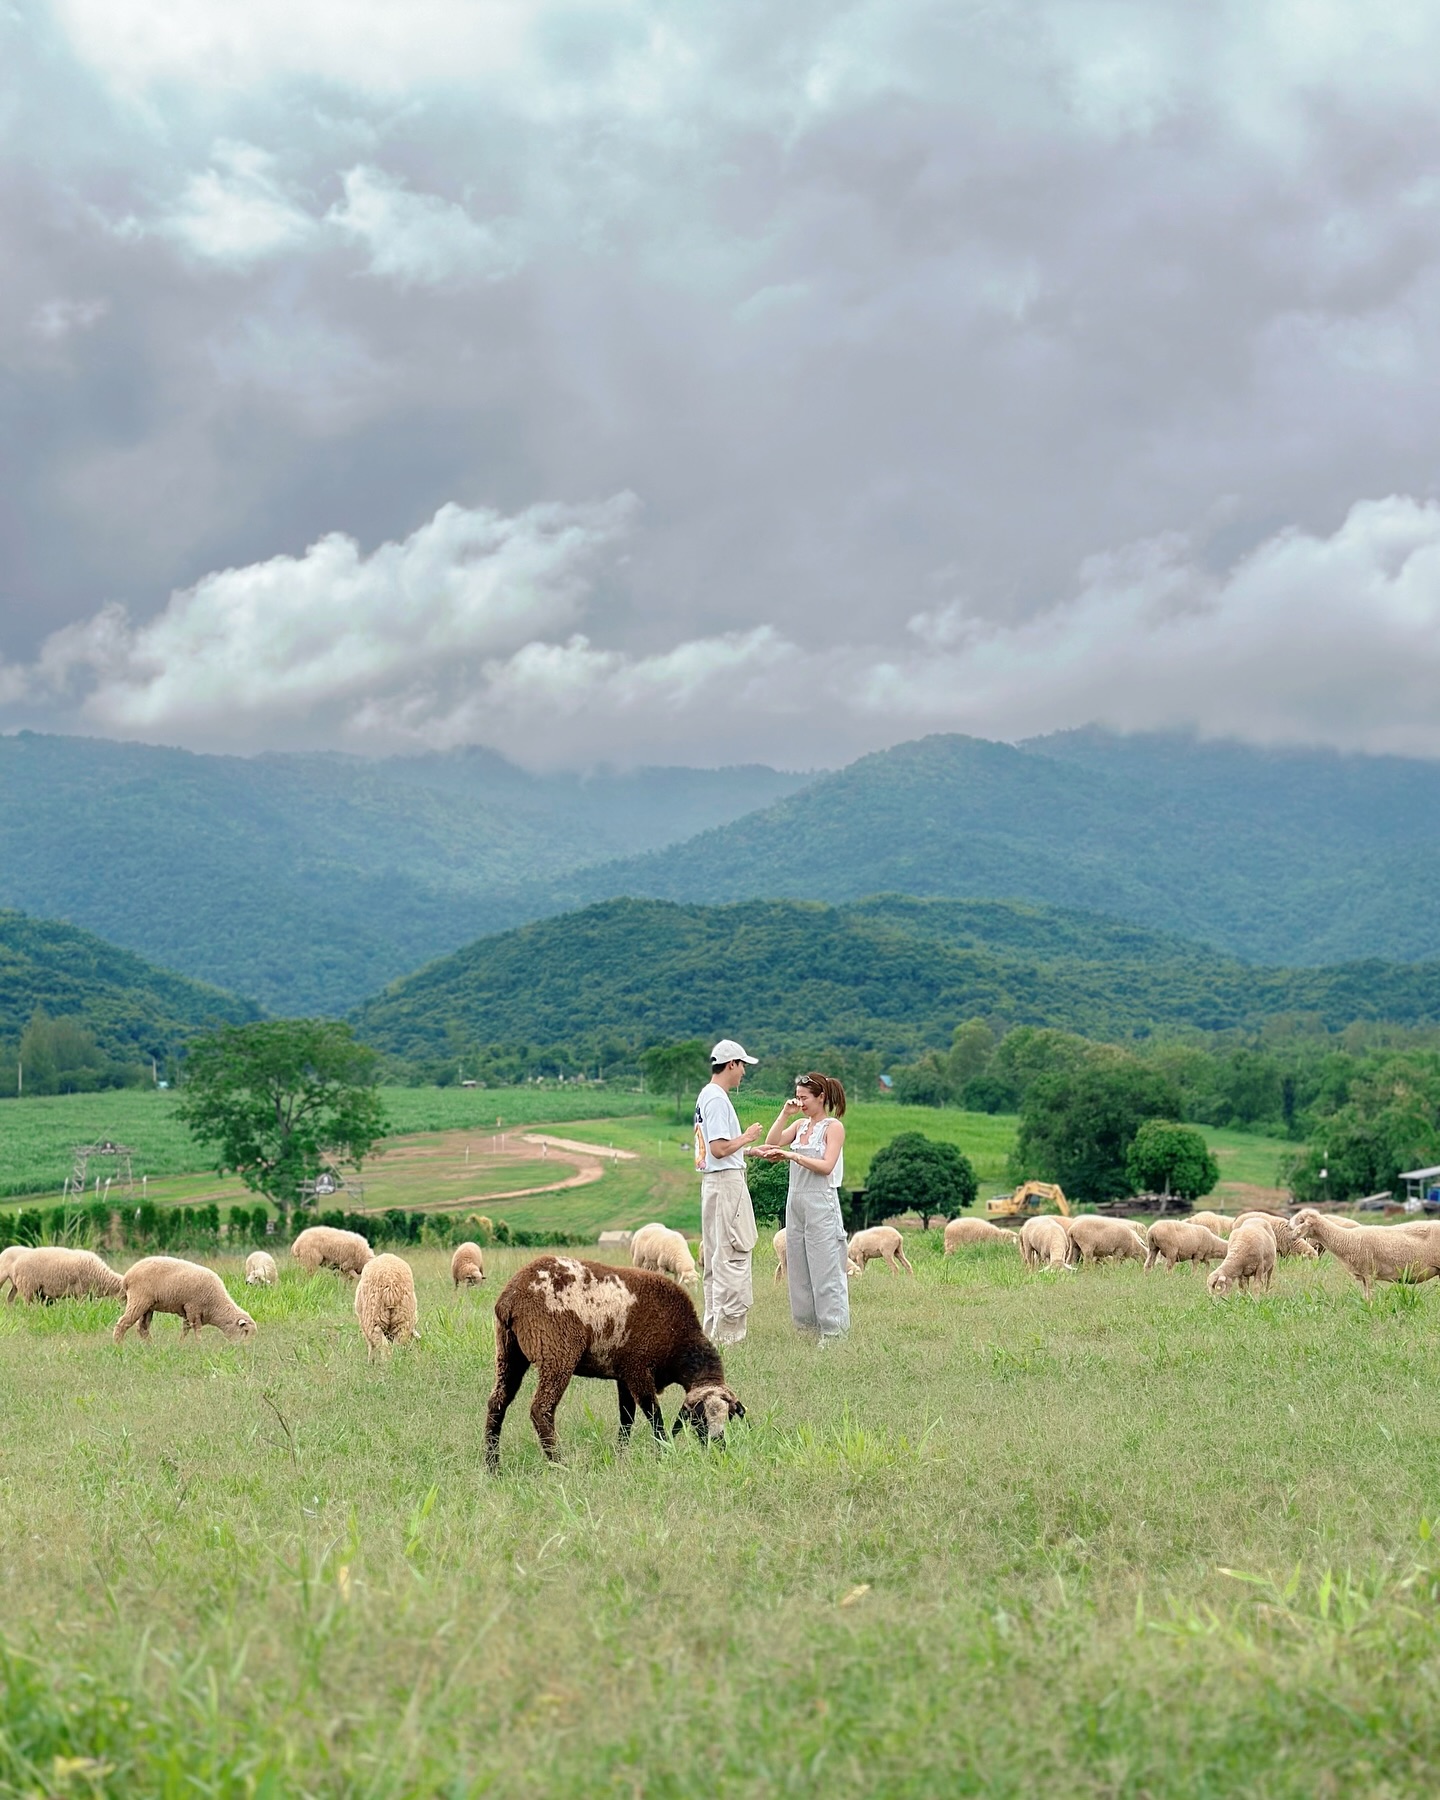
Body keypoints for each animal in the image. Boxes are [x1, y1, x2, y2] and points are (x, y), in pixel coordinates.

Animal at [115, 1260, 259, 1346]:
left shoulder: (186, 1311)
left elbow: (185, 1329)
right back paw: (118, 1345)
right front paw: (200, 1345)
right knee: (123, 1323)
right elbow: (197, 1329)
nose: (245, 1349)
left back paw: (151, 1345)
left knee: (143, 1327)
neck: (216, 1304)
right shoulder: (193, 1308)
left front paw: (181, 1344)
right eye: (246, 1331)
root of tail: (127, 1276)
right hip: (139, 1299)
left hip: (148, 1306)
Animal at [486, 1252, 748, 1461]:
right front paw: (664, 1453)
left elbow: (627, 1418)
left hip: (508, 1353)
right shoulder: (638, 1368)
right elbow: (654, 1415)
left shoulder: (623, 1374)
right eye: (699, 1419)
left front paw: (621, 1455)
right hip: (557, 1353)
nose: (718, 1448)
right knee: (541, 1409)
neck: (679, 1341)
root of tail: (511, 1297)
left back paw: (492, 1466)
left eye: (729, 1416)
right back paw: (558, 1463)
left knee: (497, 1403)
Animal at [1296, 1202, 1440, 1303]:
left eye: (1301, 1222)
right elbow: (1366, 1298)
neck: (1347, 1238)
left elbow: (1370, 1298)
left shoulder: (1369, 1273)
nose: (1295, 1237)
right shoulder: (1364, 1276)